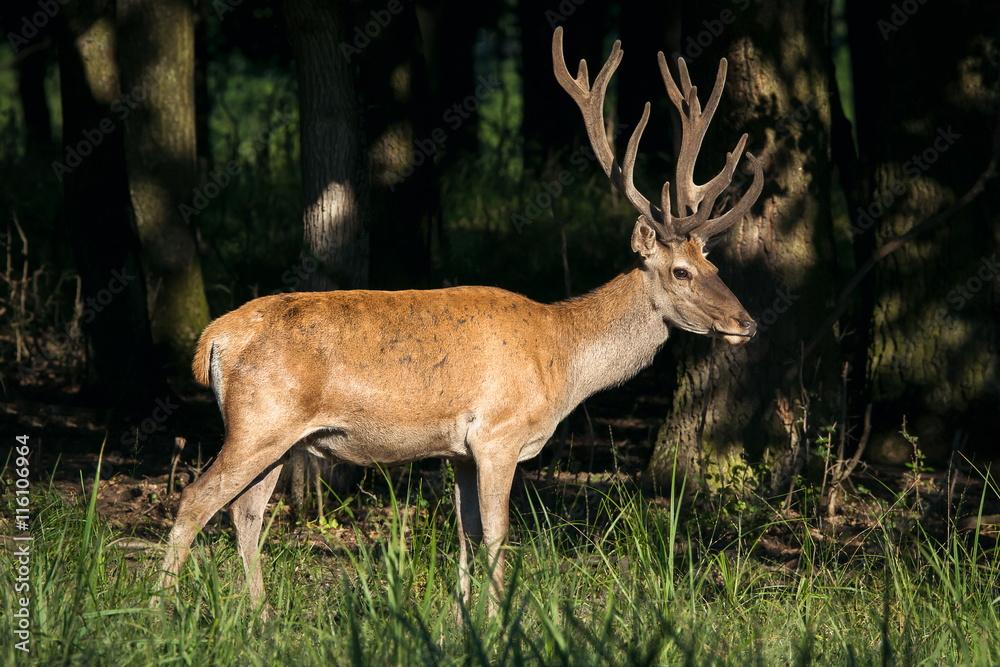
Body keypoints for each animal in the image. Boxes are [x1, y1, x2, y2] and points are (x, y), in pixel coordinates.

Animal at [152, 26, 764, 615]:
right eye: (682, 271)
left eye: (715, 264)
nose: (748, 322)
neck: (563, 360)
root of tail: (212, 339)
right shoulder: (497, 433)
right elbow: (496, 534)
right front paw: (497, 622)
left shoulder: (461, 451)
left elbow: (466, 534)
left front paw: (464, 620)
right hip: (260, 421)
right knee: (196, 499)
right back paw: (157, 612)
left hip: (278, 438)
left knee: (245, 512)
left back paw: (260, 619)